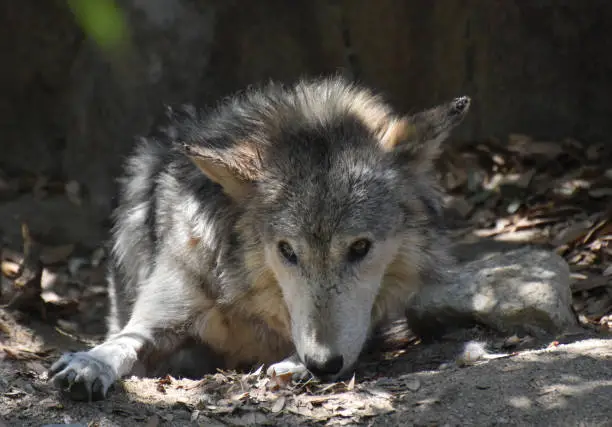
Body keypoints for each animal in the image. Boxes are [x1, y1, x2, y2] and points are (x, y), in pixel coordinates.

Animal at [47, 74, 470, 402]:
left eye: (360, 247)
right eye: (287, 251)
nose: (323, 363)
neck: (247, 304)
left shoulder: (363, 325)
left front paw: (295, 365)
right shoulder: (163, 319)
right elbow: (124, 340)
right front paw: (90, 363)